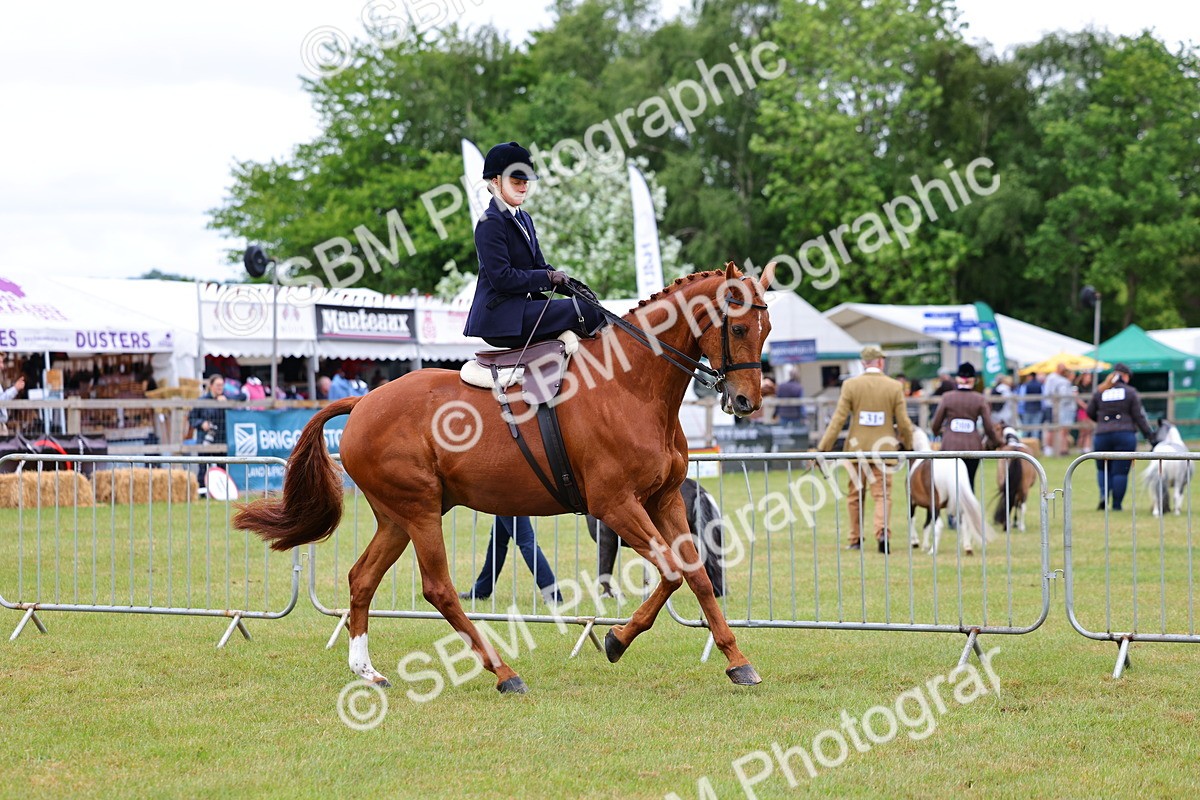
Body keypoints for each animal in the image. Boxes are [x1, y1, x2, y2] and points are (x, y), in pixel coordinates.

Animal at [907, 428, 988, 556]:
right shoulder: (929, 506)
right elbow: (926, 525)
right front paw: (924, 545)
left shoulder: (913, 502)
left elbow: (912, 520)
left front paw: (915, 542)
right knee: (964, 523)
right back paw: (967, 548)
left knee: (939, 525)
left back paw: (932, 551)